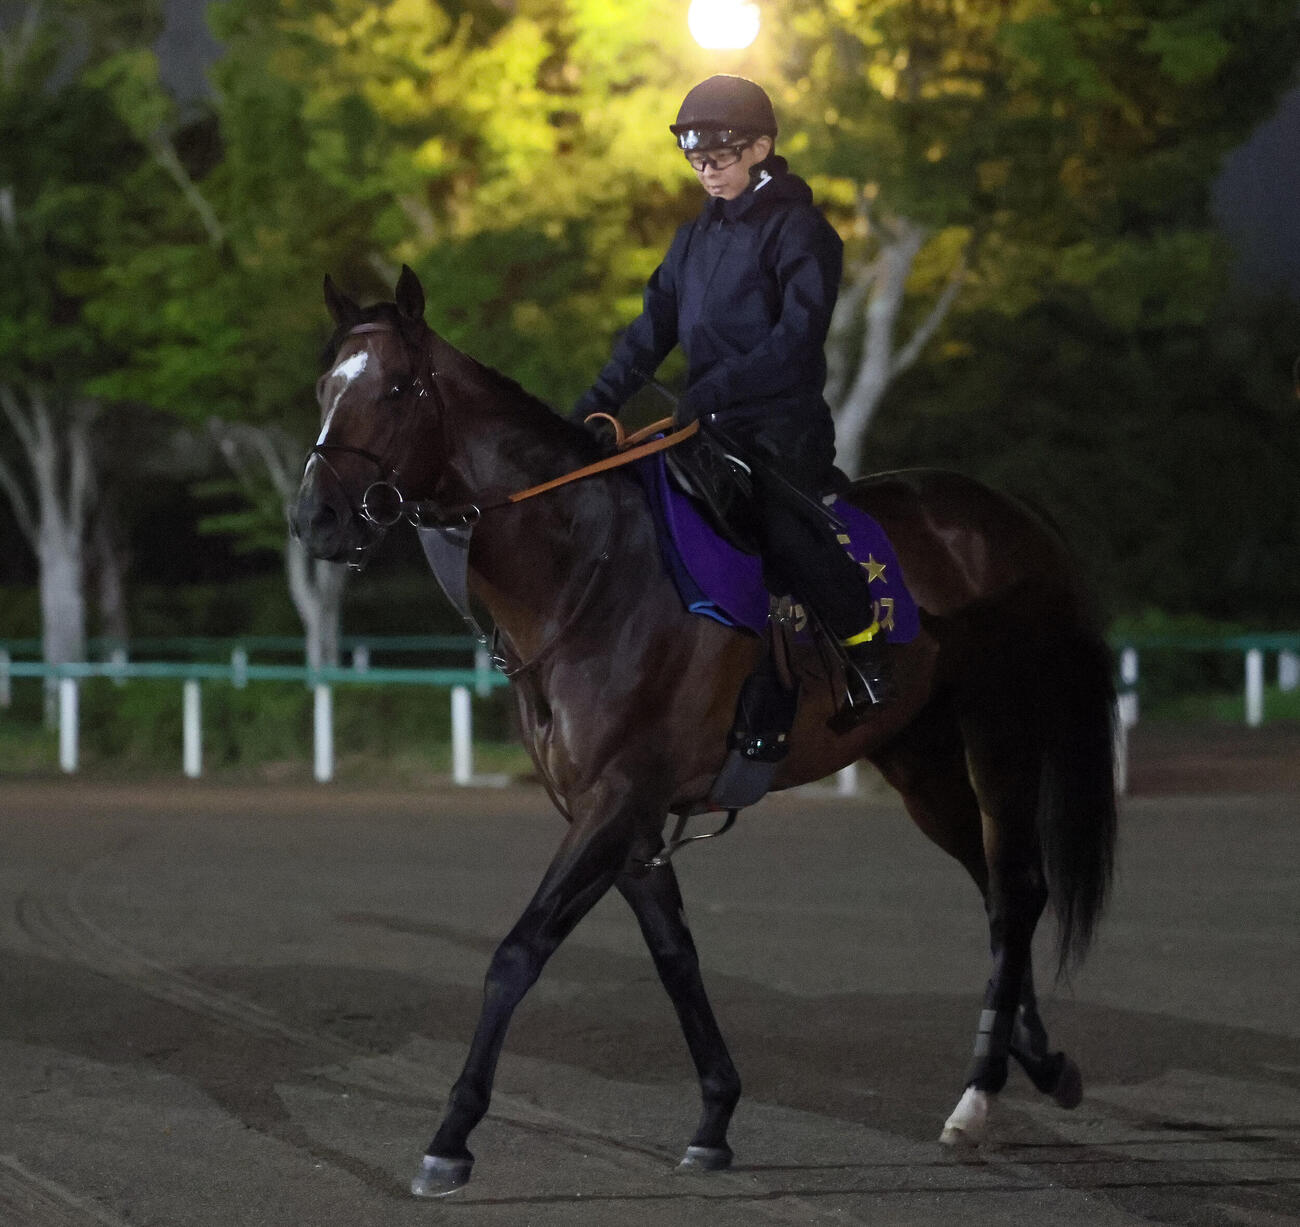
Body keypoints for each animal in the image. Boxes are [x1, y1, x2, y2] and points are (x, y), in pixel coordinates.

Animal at [291, 266, 1118, 1198]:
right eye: (324, 387)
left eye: (398, 388)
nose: (317, 517)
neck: (589, 568)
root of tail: (1014, 518)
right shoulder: (625, 814)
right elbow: (675, 955)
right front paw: (717, 1113)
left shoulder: (616, 800)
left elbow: (518, 951)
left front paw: (452, 1134)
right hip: (919, 757)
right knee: (996, 891)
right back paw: (1037, 1060)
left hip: (1000, 734)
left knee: (1017, 888)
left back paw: (978, 1094)